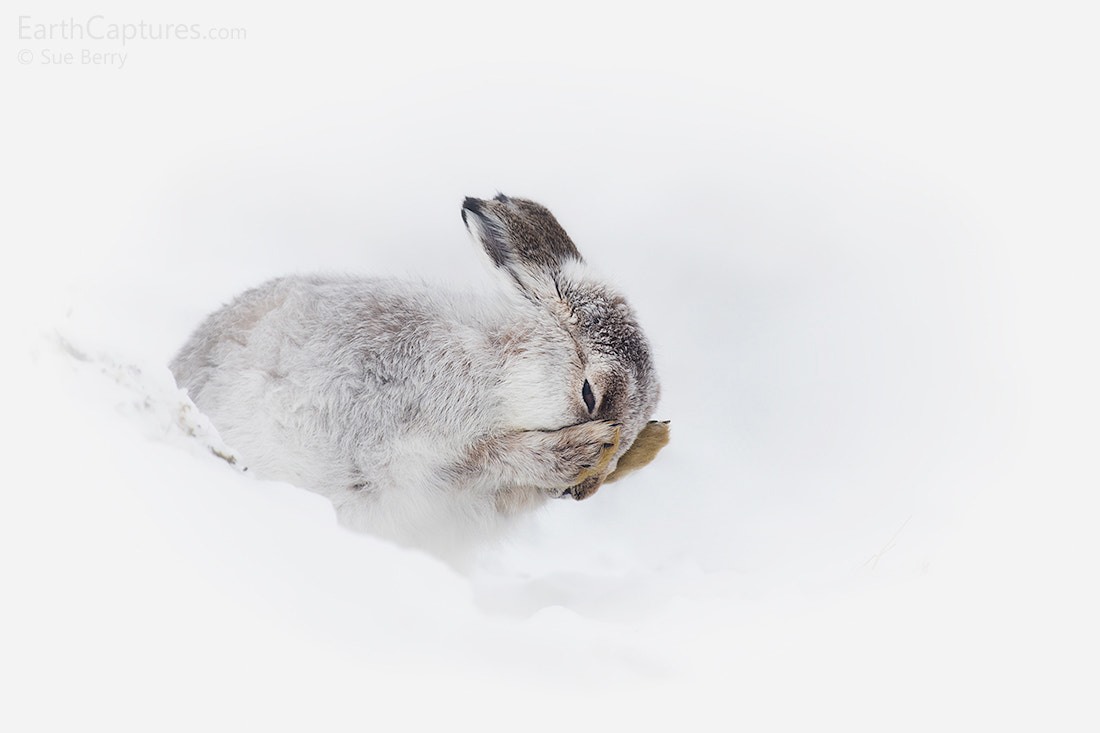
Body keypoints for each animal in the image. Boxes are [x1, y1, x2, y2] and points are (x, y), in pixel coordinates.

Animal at [170, 194, 664, 557]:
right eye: (589, 394)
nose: (583, 494)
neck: (499, 371)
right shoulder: (406, 445)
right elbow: (477, 460)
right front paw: (572, 452)